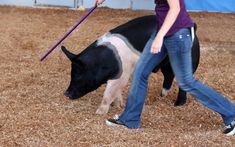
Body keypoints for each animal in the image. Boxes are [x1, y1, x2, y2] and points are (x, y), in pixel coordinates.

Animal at [61, 14, 199, 114]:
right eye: (71, 73)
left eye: (78, 74)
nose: (66, 94)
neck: (102, 61)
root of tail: (193, 27)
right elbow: (116, 92)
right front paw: (118, 105)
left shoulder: (122, 74)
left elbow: (108, 93)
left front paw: (99, 113)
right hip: (166, 65)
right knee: (169, 76)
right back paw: (162, 95)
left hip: (189, 60)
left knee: (183, 82)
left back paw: (178, 104)